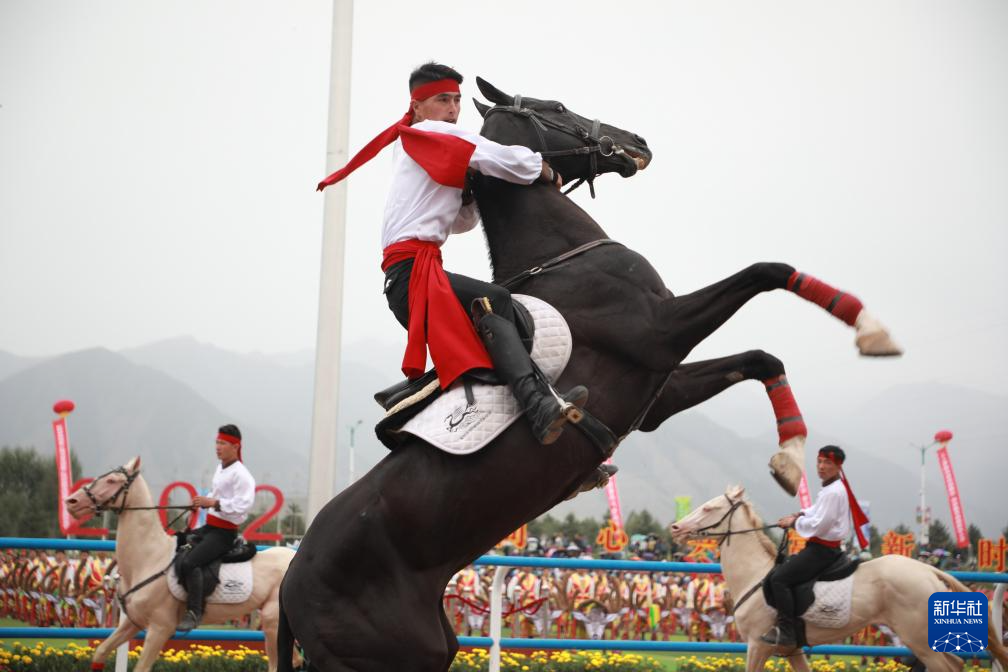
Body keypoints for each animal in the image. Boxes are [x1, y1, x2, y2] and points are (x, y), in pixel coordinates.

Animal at [65, 459, 294, 672]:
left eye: (112, 480)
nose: (71, 501)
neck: (149, 558)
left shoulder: (160, 628)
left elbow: (141, 668)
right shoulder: (132, 622)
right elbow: (101, 651)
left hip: (273, 623)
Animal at [280, 76, 903, 668]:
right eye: (556, 106)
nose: (637, 142)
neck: (563, 257)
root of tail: (288, 586)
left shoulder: (659, 389)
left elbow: (761, 358)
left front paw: (789, 456)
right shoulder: (660, 329)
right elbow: (767, 270)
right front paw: (868, 327)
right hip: (400, 652)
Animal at [669, 485, 1008, 672]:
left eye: (709, 508)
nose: (675, 528)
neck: (755, 575)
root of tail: (929, 571)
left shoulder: (757, 646)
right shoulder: (792, 651)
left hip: (920, 639)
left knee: (952, 665)